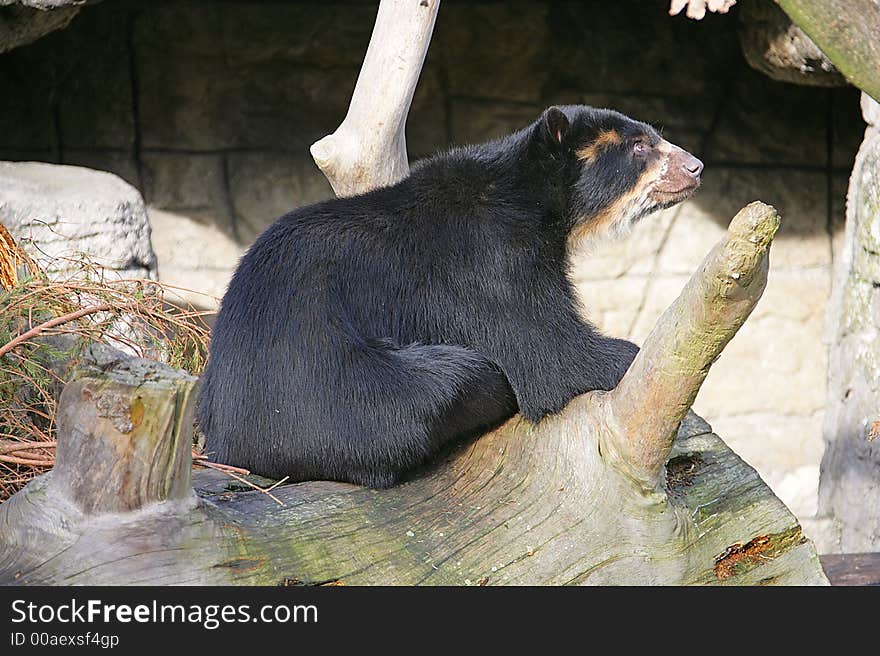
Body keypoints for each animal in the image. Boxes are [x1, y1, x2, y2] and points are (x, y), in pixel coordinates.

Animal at [196, 105, 704, 486]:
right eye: (639, 146)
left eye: (654, 137)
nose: (695, 166)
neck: (534, 197)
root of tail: (228, 443)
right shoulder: (489, 256)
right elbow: (548, 353)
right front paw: (625, 355)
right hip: (328, 390)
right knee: (448, 382)